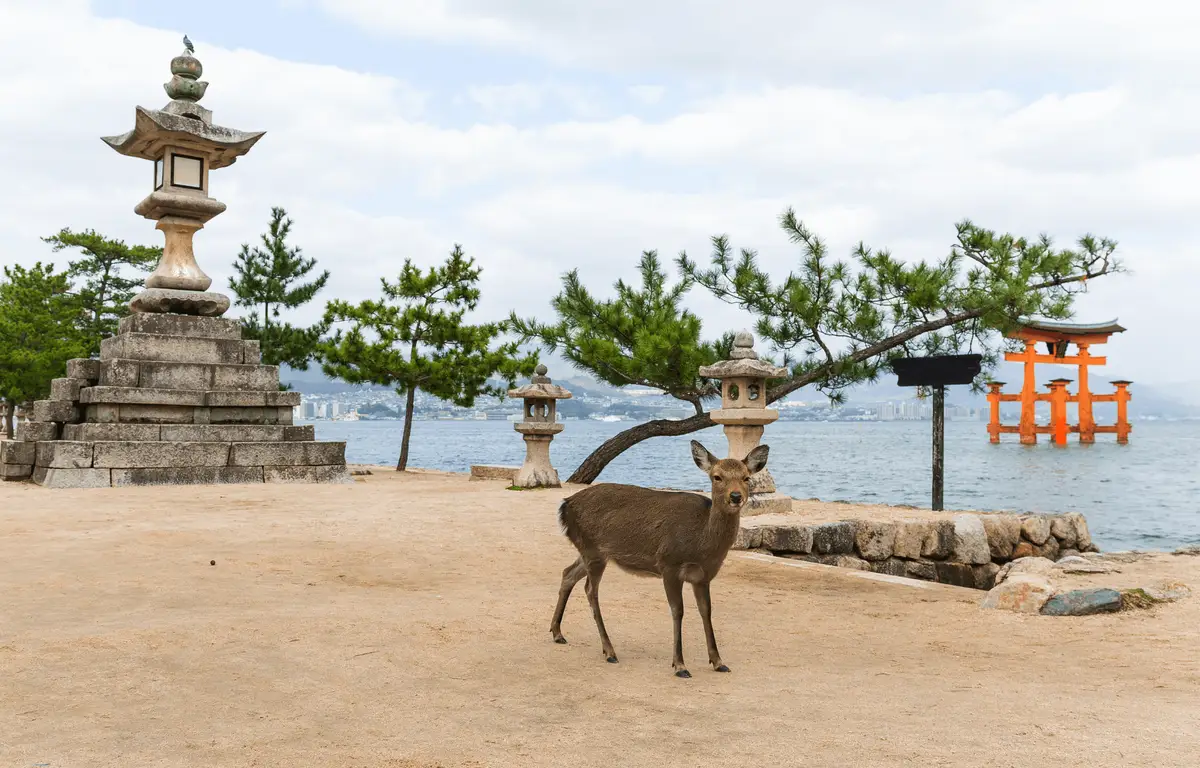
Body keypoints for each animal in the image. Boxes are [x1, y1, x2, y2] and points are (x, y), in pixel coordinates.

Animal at [550, 439, 769, 678]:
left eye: (746, 477)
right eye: (717, 477)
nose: (736, 496)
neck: (702, 545)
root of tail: (564, 505)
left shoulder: (703, 576)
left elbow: (706, 611)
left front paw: (718, 661)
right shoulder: (669, 565)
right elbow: (678, 610)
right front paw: (680, 665)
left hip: (591, 551)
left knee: (567, 573)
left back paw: (557, 633)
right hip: (593, 550)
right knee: (590, 590)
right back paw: (609, 651)